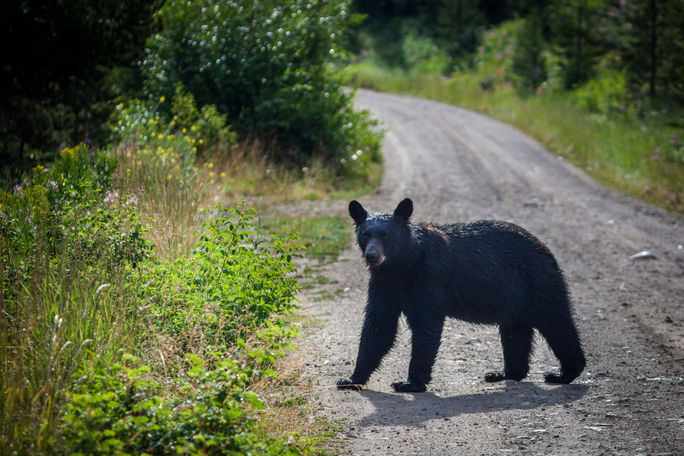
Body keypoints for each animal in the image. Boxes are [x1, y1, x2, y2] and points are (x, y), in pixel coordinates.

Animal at [334, 198, 584, 394]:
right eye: (365, 234)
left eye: (386, 235)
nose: (372, 255)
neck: (402, 266)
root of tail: (545, 248)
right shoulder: (384, 285)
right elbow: (379, 325)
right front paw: (351, 378)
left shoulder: (429, 278)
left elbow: (426, 325)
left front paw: (410, 383)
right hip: (516, 299)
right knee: (515, 331)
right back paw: (505, 373)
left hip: (539, 283)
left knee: (556, 323)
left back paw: (564, 373)